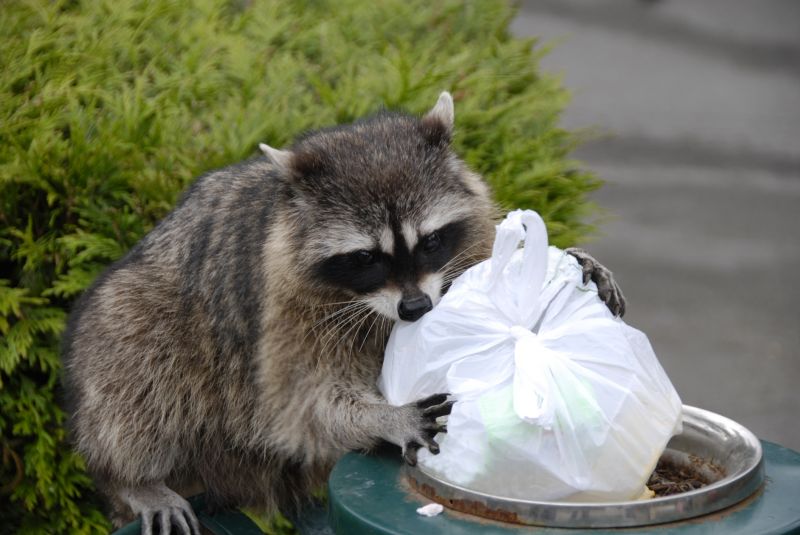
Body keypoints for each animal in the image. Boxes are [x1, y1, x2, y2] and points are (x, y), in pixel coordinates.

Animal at [62, 93, 625, 534]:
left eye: (430, 242)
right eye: (366, 258)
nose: (416, 308)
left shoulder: (466, 242)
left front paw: (570, 263)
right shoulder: (284, 313)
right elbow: (302, 404)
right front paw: (385, 416)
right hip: (138, 316)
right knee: (135, 363)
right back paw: (133, 478)